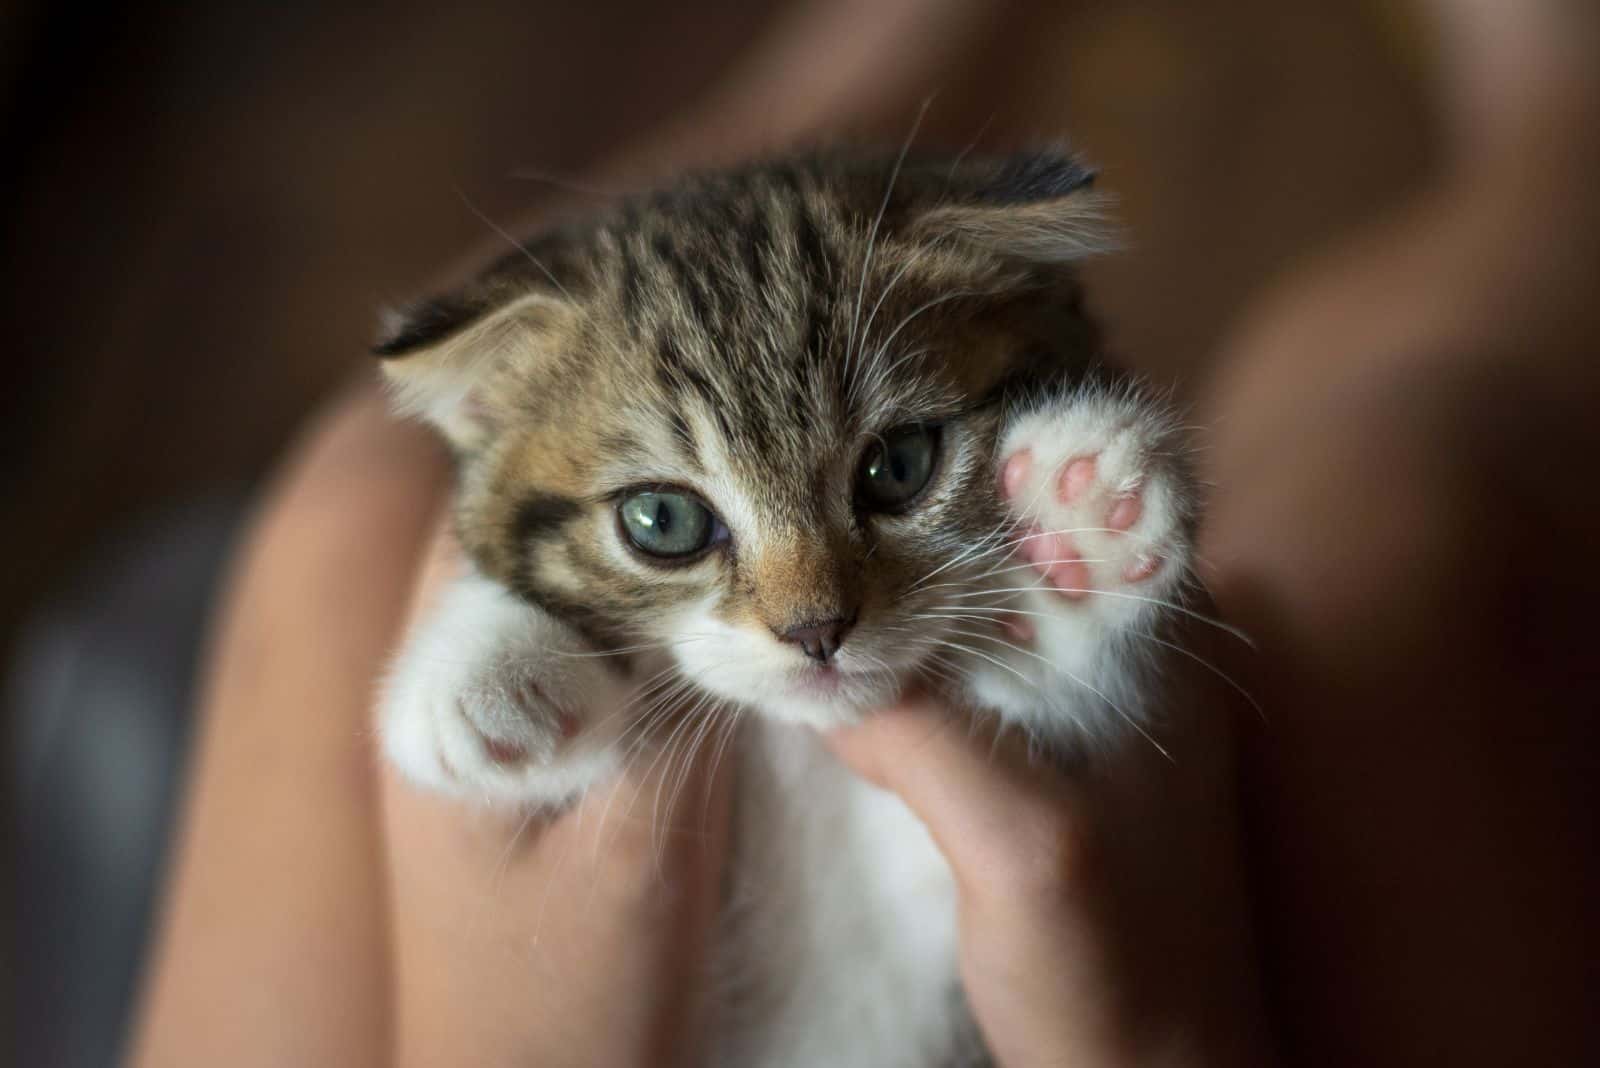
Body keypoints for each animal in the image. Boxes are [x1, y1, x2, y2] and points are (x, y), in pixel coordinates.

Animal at [380, 147, 1196, 1068]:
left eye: (899, 466)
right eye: (662, 520)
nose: (816, 630)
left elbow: (1054, 696)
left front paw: (1080, 529)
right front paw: (480, 673)